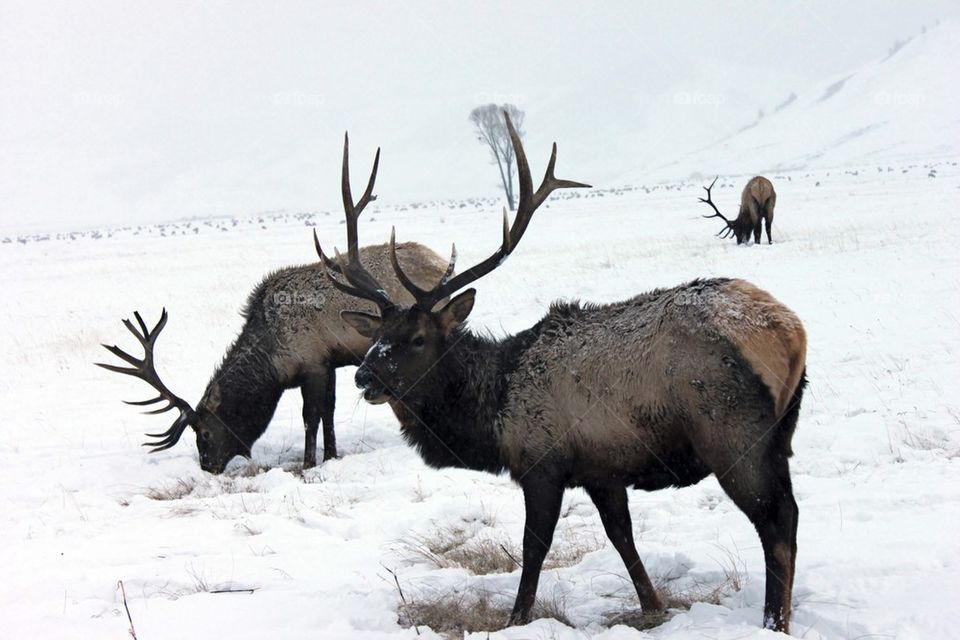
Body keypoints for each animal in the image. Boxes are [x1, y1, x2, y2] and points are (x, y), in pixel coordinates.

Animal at [97, 135, 452, 474]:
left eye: (205, 432)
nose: (208, 466)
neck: (274, 361)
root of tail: (439, 261)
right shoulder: (329, 362)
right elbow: (329, 412)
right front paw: (332, 454)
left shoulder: (312, 362)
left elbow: (312, 416)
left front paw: (309, 462)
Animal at [323, 114, 807, 633]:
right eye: (378, 334)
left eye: (417, 338)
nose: (364, 378)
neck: (493, 414)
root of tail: (790, 331)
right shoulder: (602, 468)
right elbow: (622, 538)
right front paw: (653, 605)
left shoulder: (542, 461)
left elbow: (533, 548)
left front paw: (517, 617)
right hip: (778, 433)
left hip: (734, 434)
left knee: (778, 520)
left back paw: (774, 623)